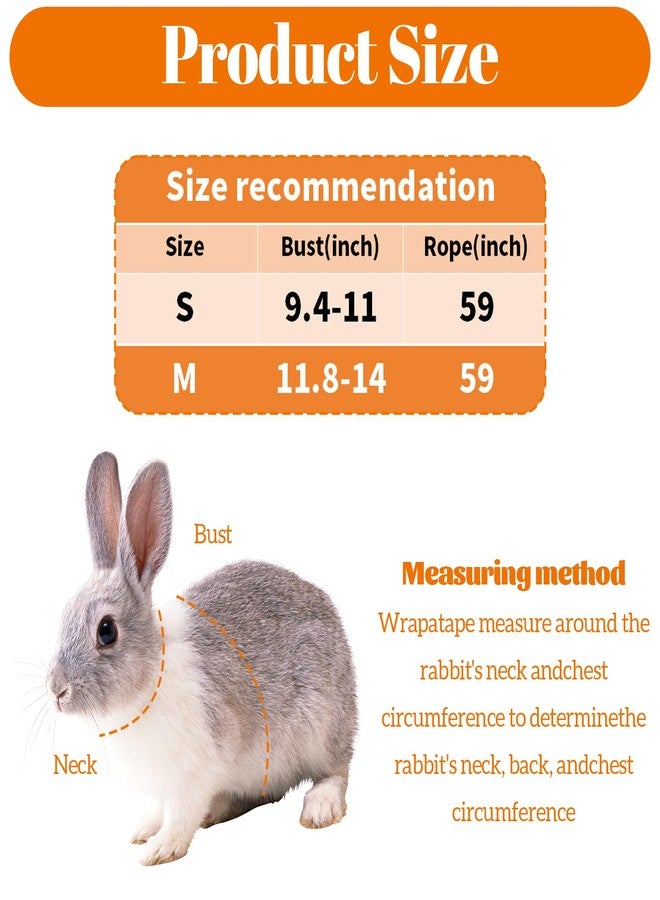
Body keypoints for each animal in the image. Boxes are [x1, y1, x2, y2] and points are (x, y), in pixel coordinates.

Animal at [47, 452, 357, 865]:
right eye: (64, 616)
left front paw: (160, 849)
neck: (146, 682)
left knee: (337, 769)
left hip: (322, 727)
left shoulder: (192, 774)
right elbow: (159, 809)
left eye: (106, 631)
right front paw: (143, 831)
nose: (56, 690)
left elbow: (181, 814)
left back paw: (319, 807)